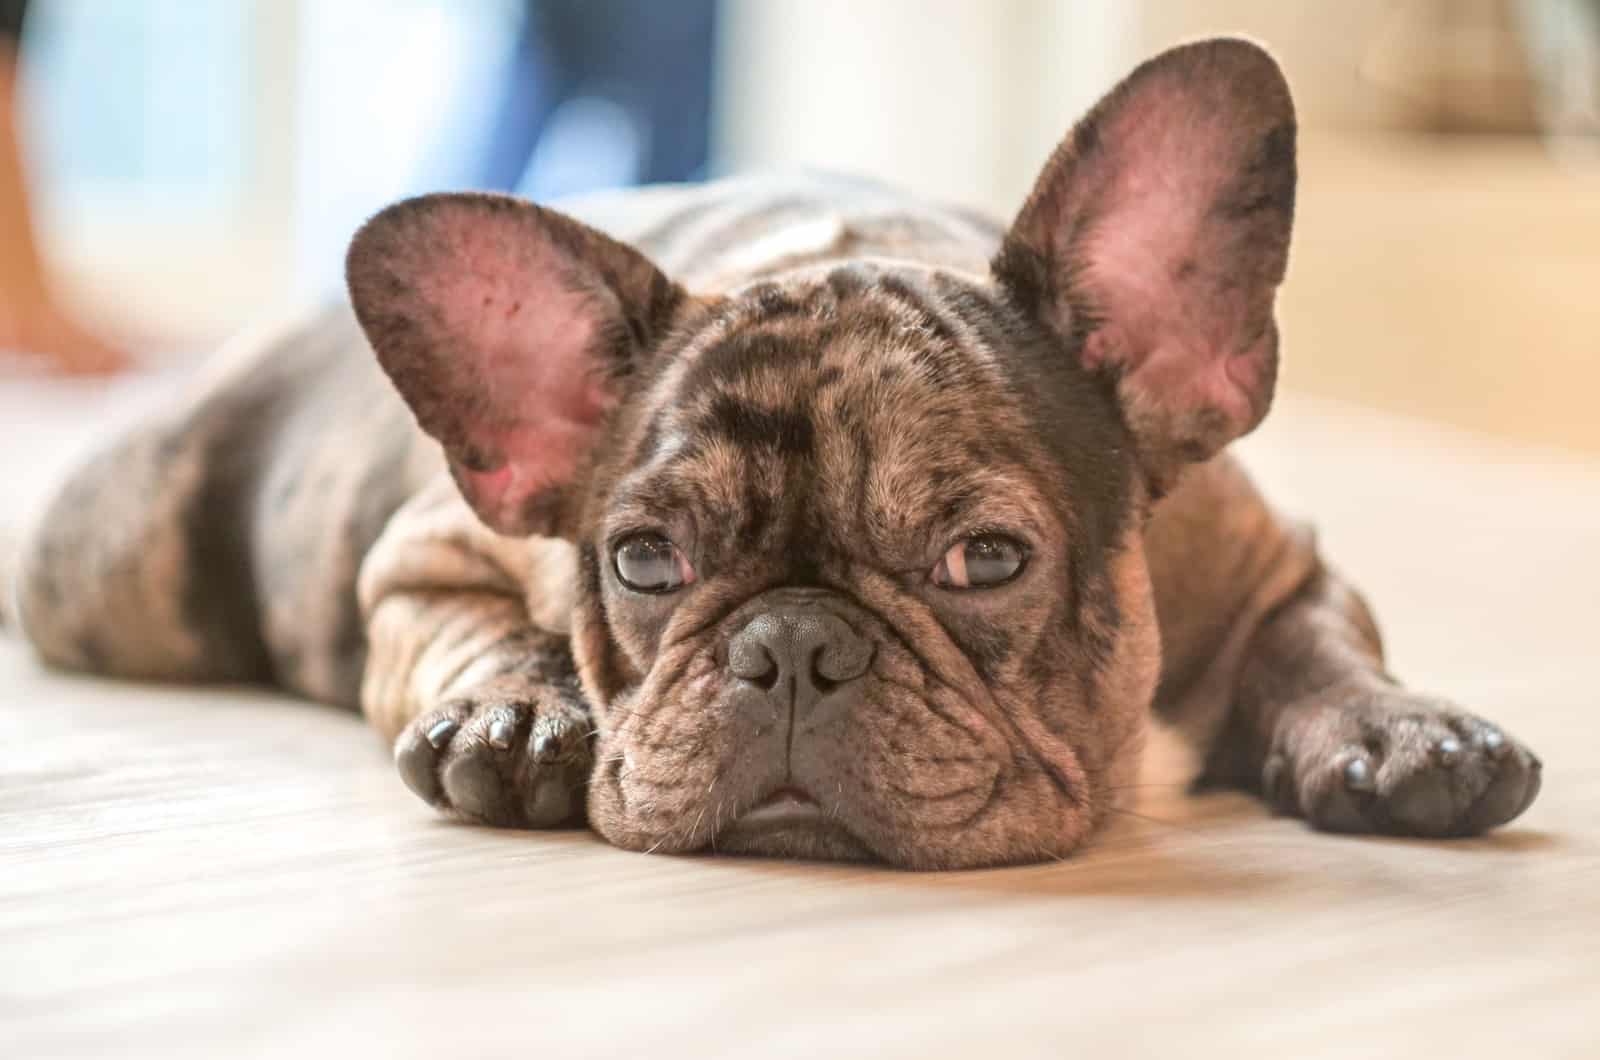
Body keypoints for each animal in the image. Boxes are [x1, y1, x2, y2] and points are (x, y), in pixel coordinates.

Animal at [6, 43, 1542, 871]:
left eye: (987, 558)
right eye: (641, 562)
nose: (792, 643)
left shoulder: (1271, 559)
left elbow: (1316, 643)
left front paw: (1402, 729)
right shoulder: (421, 558)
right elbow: (476, 632)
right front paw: (521, 714)